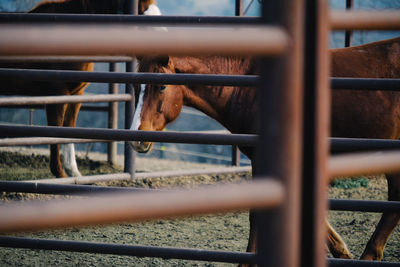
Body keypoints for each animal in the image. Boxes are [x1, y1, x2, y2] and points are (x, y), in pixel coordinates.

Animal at [1, 0, 161, 180]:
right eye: (142, 14)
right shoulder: (57, 94)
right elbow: (55, 130)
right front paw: (59, 173)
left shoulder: (75, 95)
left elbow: (70, 128)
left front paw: (72, 171)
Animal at [131, 36, 400, 262]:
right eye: (135, 87)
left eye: (162, 87)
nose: (137, 137)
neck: (246, 83)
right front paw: (340, 250)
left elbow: (257, 214)